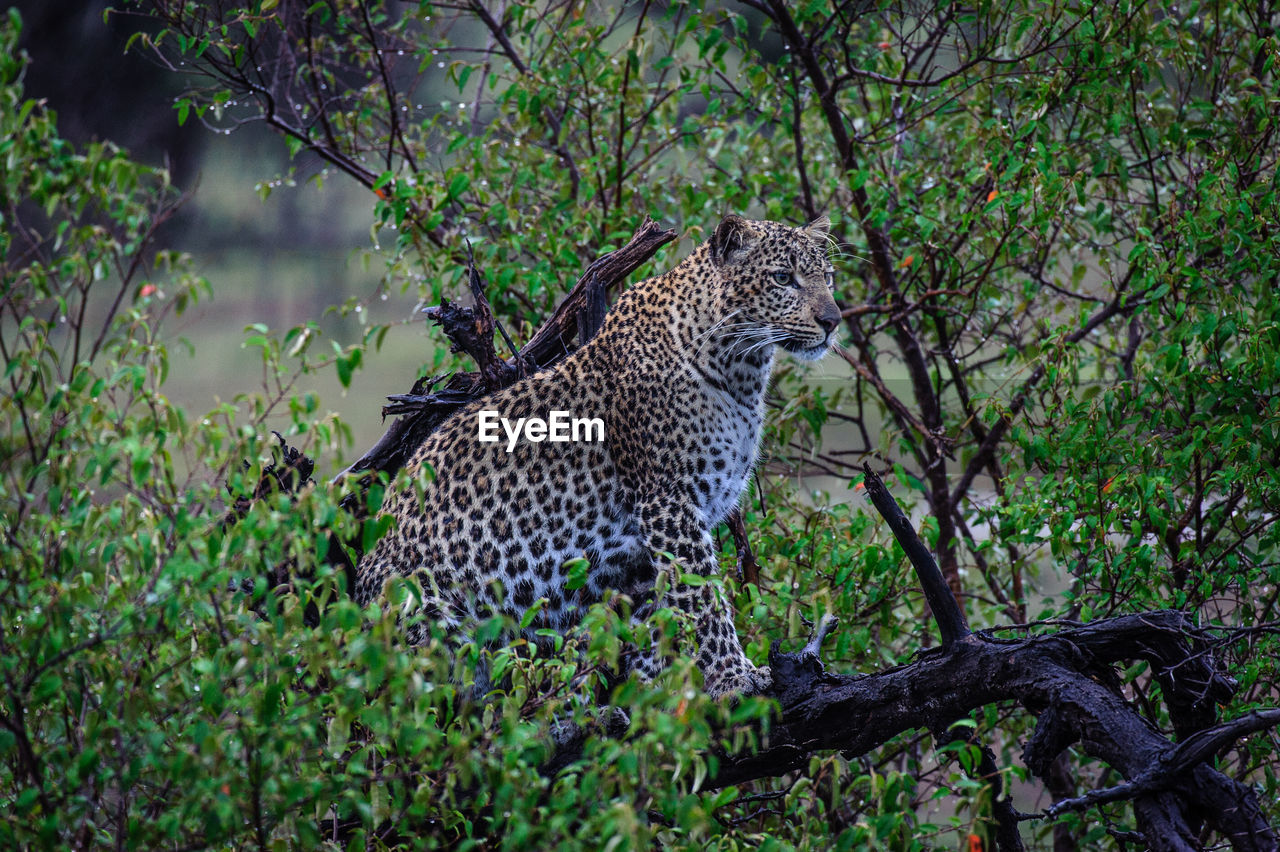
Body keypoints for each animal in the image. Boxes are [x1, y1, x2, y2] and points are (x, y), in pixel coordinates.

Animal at [355, 213, 844, 695]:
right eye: (783, 278)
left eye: (828, 277)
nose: (833, 320)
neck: (742, 368)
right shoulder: (669, 503)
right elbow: (703, 597)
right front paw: (734, 676)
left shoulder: (643, 549)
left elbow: (655, 619)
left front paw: (654, 690)